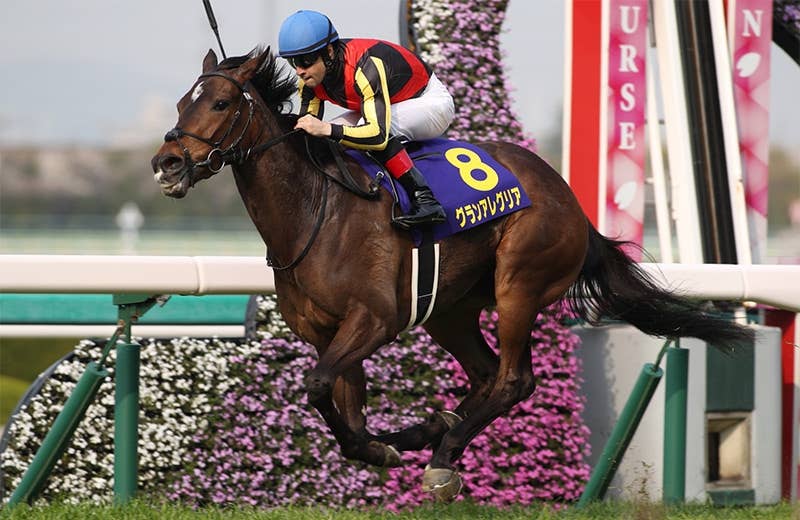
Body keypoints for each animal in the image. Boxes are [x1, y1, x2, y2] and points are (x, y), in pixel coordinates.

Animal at [151, 47, 753, 501]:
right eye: (182, 101)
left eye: (221, 102)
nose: (167, 164)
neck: (313, 210)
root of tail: (572, 203)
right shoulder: (327, 332)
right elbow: (345, 411)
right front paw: (380, 445)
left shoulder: (375, 320)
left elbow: (318, 384)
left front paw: (391, 445)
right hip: (451, 310)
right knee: (484, 374)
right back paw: (434, 429)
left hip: (519, 284)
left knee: (512, 379)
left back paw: (443, 454)